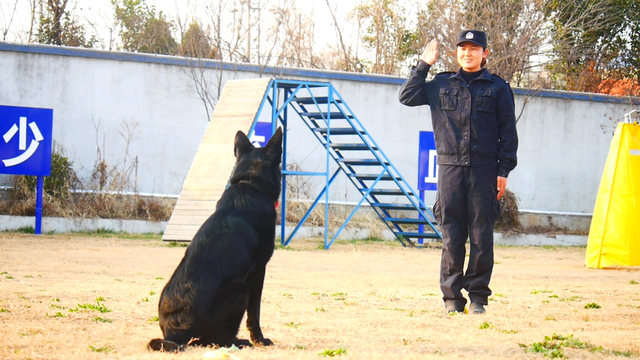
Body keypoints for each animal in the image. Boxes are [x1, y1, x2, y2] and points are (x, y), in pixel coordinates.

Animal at [150, 126, 282, 352]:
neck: (249, 185)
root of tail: (174, 332)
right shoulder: (257, 271)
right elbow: (254, 314)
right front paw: (260, 339)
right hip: (240, 289)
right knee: (213, 340)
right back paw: (239, 341)